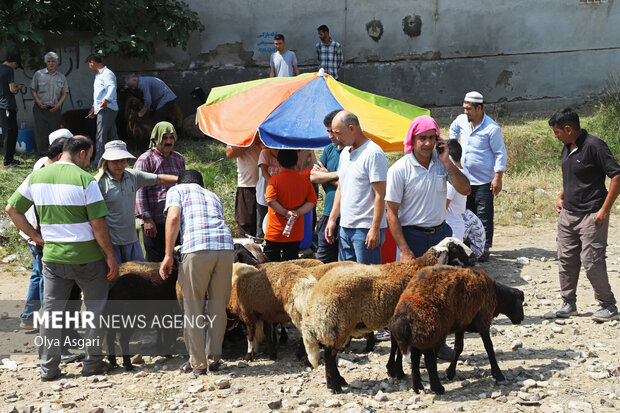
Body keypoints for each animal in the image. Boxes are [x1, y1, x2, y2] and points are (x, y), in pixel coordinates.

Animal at [302, 237, 474, 392]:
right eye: (455, 247)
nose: (474, 256)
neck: (420, 266)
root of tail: (316, 297)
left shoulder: (395, 320)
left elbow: (395, 345)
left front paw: (393, 370)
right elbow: (398, 346)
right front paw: (399, 371)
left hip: (333, 326)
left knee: (331, 354)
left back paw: (339, 381)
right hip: (338, 323)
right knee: (329, 356)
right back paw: (334, 385)